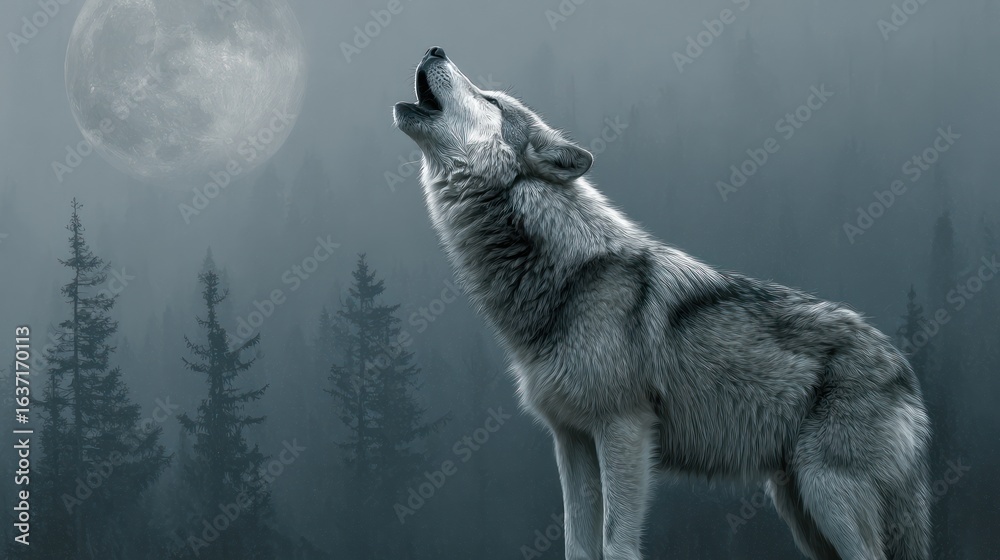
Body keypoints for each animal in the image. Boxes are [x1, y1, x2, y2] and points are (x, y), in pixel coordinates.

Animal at [394, 47, 932, 560]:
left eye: (491, 100)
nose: (435, 48)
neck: (566, 275)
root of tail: (902, 366)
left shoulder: (624, 429)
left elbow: (615, 543)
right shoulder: (571, 440)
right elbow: (577, 545)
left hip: (826, 495)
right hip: (801, 510)